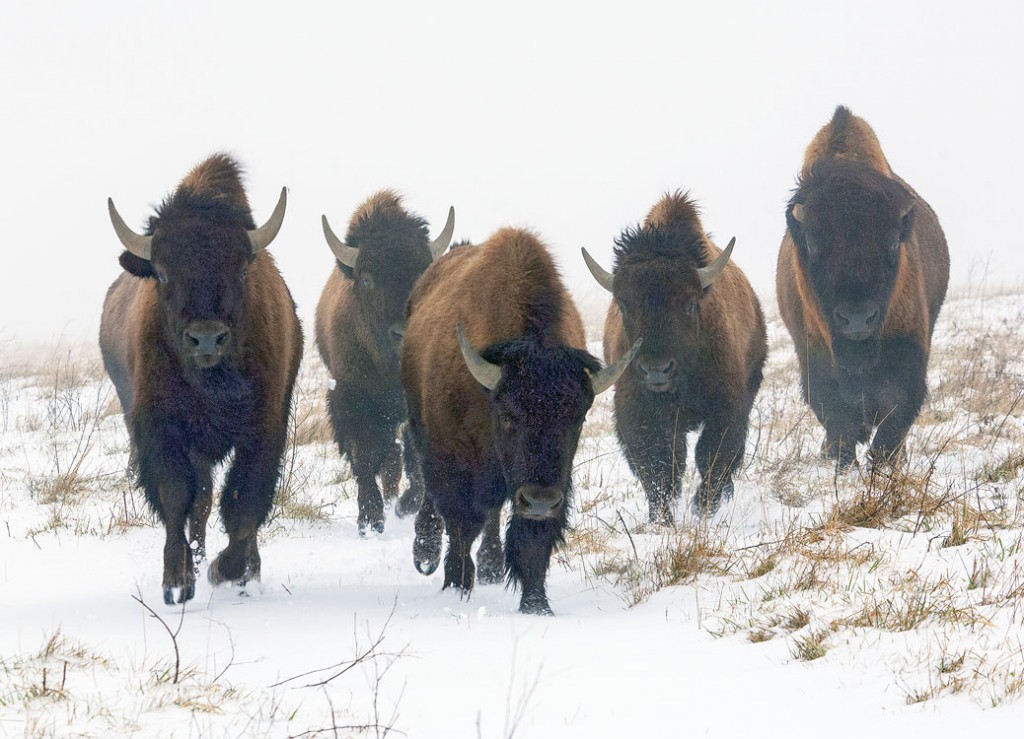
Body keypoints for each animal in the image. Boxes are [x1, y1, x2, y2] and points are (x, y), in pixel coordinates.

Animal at [100, 153, 303, 605]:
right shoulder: (164, 432)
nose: (206, 337)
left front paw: (227, 571)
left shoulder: (263, 430)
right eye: (162, 272)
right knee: (201, 503)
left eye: (242, 270)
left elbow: (244, 501)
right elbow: (178, 499)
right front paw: (177, 582)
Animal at [315, 191, 454, 535]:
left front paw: (406, 506)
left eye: (421, 273)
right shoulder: (350, 400)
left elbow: (415, 460)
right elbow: (363, 456)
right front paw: (370, 519)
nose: (402, 333)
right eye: (367, 279)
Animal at [401, 227, 639, 614]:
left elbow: (530, 538)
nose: (539, 501)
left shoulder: (553, 485)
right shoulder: (453, 463)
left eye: (578, 419)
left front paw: (537, 606)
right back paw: (428, 555)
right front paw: (457, 585)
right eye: (508, 416)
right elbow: (461, 523)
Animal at [583, 192, 767, 519]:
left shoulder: (728, 407)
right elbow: (659, 465)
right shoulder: (639, 411)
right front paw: (662, 517)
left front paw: (702, 508)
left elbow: (712, 454)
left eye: (691, 303)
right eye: (623, 305)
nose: (657, 370)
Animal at [777, 106, 950, 466]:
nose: (857, 319)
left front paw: (883, 463)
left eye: (893, 240)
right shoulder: (814, 359)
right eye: (812, 243)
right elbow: (839, 420)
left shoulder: (907, 352)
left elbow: (894, 414)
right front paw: (842, 462)